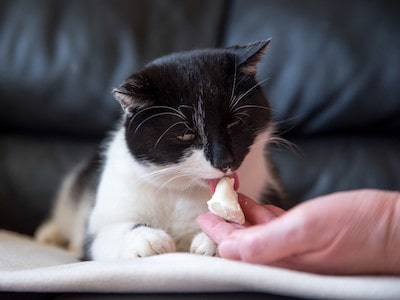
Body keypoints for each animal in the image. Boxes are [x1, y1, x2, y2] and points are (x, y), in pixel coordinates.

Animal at [34, 39, 284, 260]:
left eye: (234, 123)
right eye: (186, 133)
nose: (224, 161)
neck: (182, 191)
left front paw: (212, 239)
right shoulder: (99, 224)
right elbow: (106, 233)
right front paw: (147, 239)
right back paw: (49, 235)